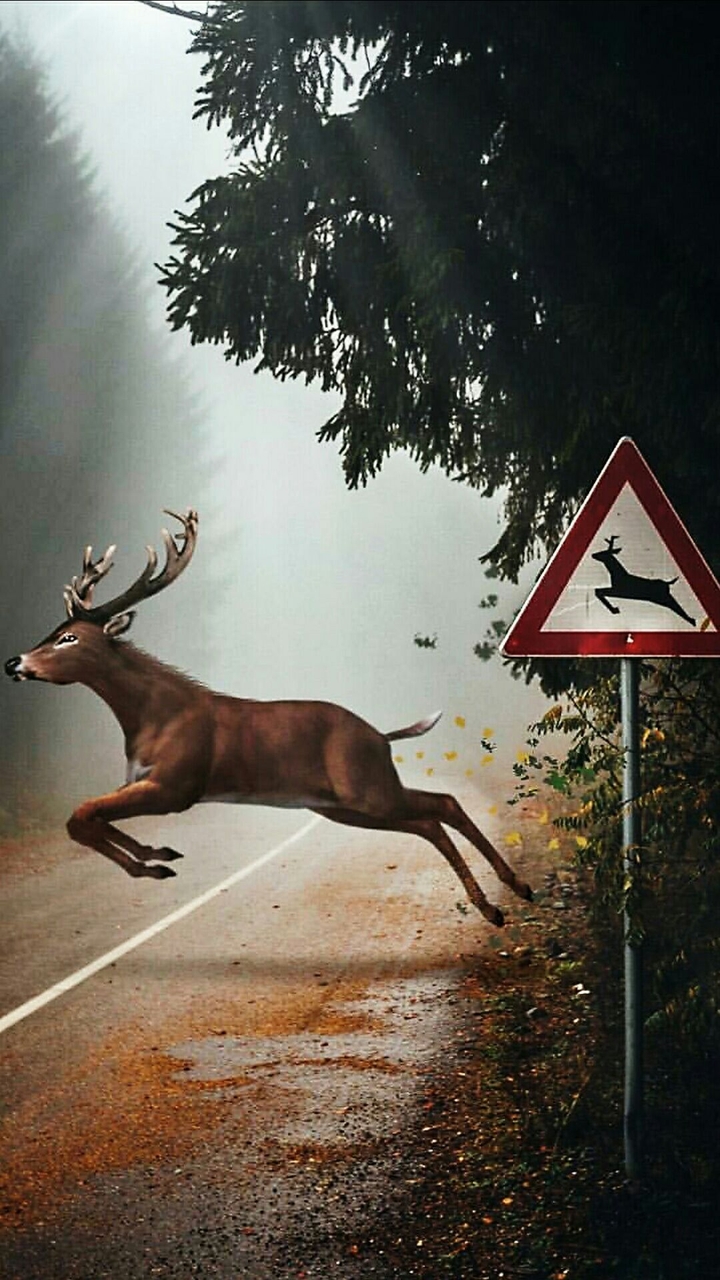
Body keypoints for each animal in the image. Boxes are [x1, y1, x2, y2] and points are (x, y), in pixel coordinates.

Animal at [4, 510, 532, 927]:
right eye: (54, 629)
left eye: (69, 637)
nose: (14, 663)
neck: (150, 719)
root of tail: (380, 736)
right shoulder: (142, 779)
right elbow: (85, 818)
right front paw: (158, 857)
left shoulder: (178, 785)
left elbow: (82, 814)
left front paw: (154, 861)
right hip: (343, 803)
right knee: (436, 811)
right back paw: (509, 895)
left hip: (365, 789)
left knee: (437, 812)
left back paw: (502, 901)